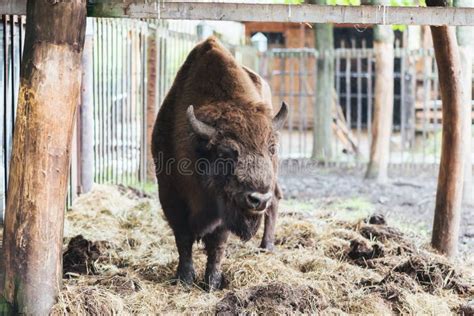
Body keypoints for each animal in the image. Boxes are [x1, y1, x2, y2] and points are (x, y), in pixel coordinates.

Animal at [152, 36, 286, 288]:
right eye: (226, 153)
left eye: (271, 148)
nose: (257, 199)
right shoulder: (170, 195)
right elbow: (183, 239)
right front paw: (184, 278)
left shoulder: (223, 208)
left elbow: (217, 243)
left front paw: (212, 282)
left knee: (275, 201)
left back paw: (267, 247)